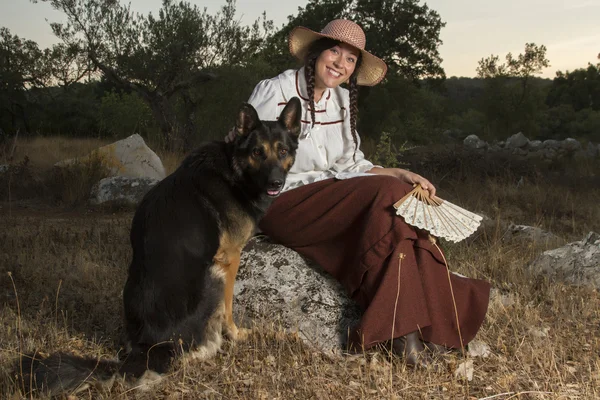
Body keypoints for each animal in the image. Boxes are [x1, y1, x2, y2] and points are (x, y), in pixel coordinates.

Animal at [17, 97, 302, 396]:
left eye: (282, 150)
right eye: (258, 152)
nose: (276, 183)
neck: (234, 168)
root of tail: (146, 348)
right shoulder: (230, 258)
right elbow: (228, 309)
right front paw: (237, 335)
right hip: (213, 277)